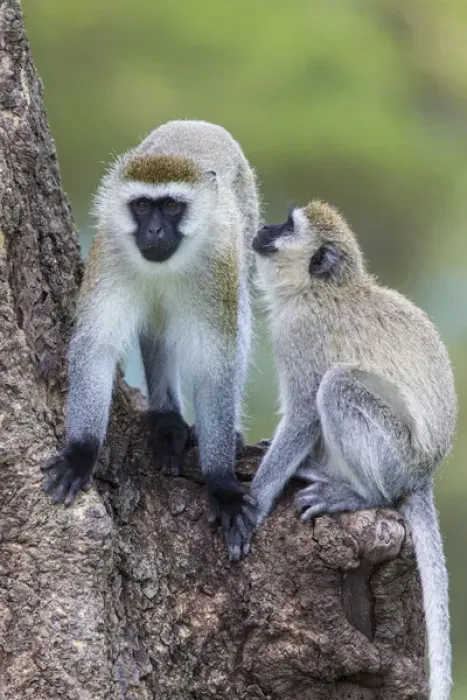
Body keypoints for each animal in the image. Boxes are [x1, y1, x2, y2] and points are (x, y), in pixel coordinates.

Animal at [41, 120, 260, 560]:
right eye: (142, 206)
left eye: (172, 206)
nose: (155, 230)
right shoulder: (109, 250)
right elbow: (96, 347)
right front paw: (81, 453)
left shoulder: (218, 265)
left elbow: (216, 367)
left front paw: (222, 484)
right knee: (156, 328)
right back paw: (166, 420)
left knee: (239, 313)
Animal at [246, 200, 456, 700]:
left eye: (287, 225)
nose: (263, 228)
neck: (319, 289)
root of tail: (422, 475)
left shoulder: (300, 332)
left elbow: (305, 412)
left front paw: (253, 502)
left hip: (394, 457)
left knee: (337, 385)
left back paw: (357, 494)